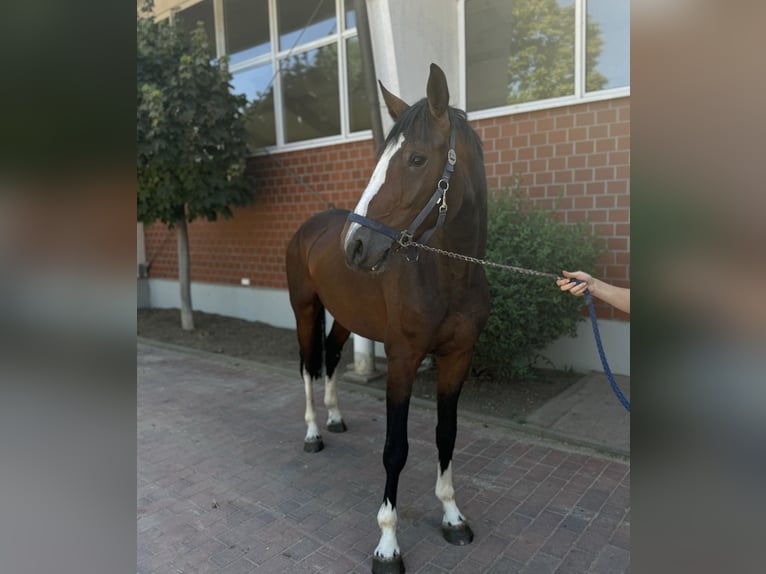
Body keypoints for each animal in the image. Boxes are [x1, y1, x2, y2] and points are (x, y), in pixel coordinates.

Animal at [284, 64, 488, 574]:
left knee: (332, 356)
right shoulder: (402, 360)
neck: (448, 276)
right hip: (304, 309)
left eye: (416, 159)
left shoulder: (457, 359)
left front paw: (452, 516)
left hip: (344, 317)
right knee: (307, 365)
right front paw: (387, 545)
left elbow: (446, 436)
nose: (354, 245)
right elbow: (396, 449)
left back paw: (335, 418)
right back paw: (313, 431)